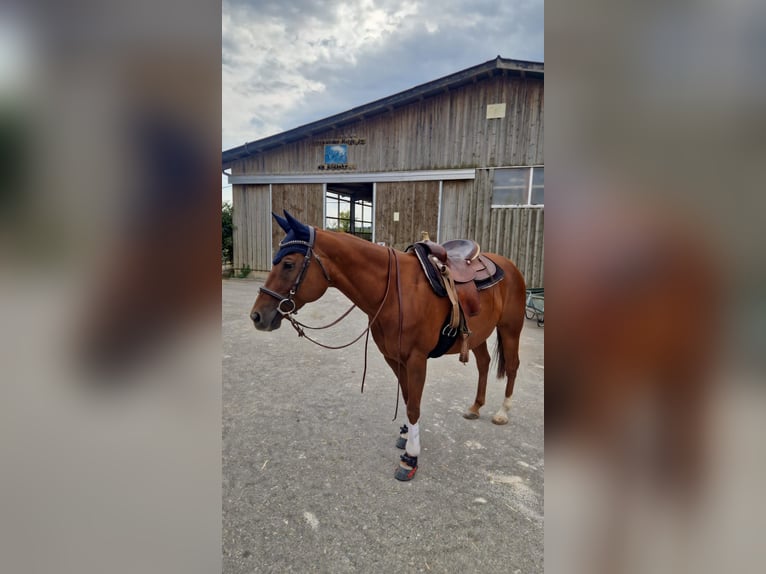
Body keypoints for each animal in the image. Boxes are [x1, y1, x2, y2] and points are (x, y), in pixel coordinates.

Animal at [249, 210, 527, 481]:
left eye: (288, 264)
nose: (257, 316)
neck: (395, 291)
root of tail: (510, 266)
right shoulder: (394, 358)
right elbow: (406, 397)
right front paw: (406, 435)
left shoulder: (416, 360)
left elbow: (414, 406)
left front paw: (411, 457)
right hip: (478, 334)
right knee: (484, 364)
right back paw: (475, 407)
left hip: (510, 329)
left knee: (513, 366)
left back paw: (503, 411)